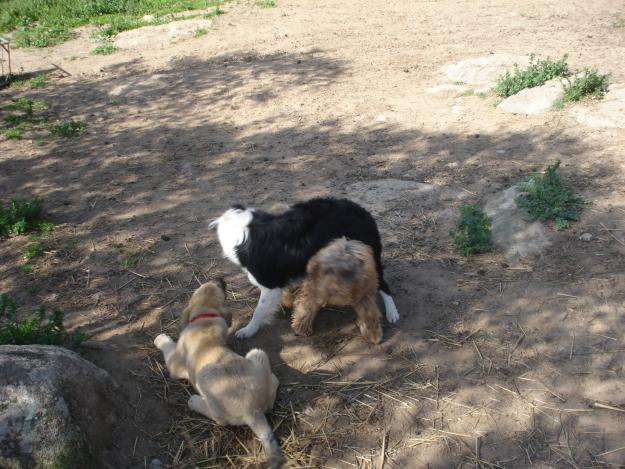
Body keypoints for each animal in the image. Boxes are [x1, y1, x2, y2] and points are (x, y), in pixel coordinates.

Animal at [155, 280, 282, 466]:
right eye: (204, 286)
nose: (220, 280)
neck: (205, 319)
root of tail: (254, 410)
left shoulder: (175, 364)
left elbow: (168, 346)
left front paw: (160, 338)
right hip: (257, 353)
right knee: (274, 381)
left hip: (203, 376)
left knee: (219, 418)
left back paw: (195, 402)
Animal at [207, 197, 398, 336]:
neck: (242, 228)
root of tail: (363, 211)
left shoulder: (269, 285)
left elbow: (259, 311)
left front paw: (248, 330)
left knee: (383, 284)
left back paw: (392, 312)